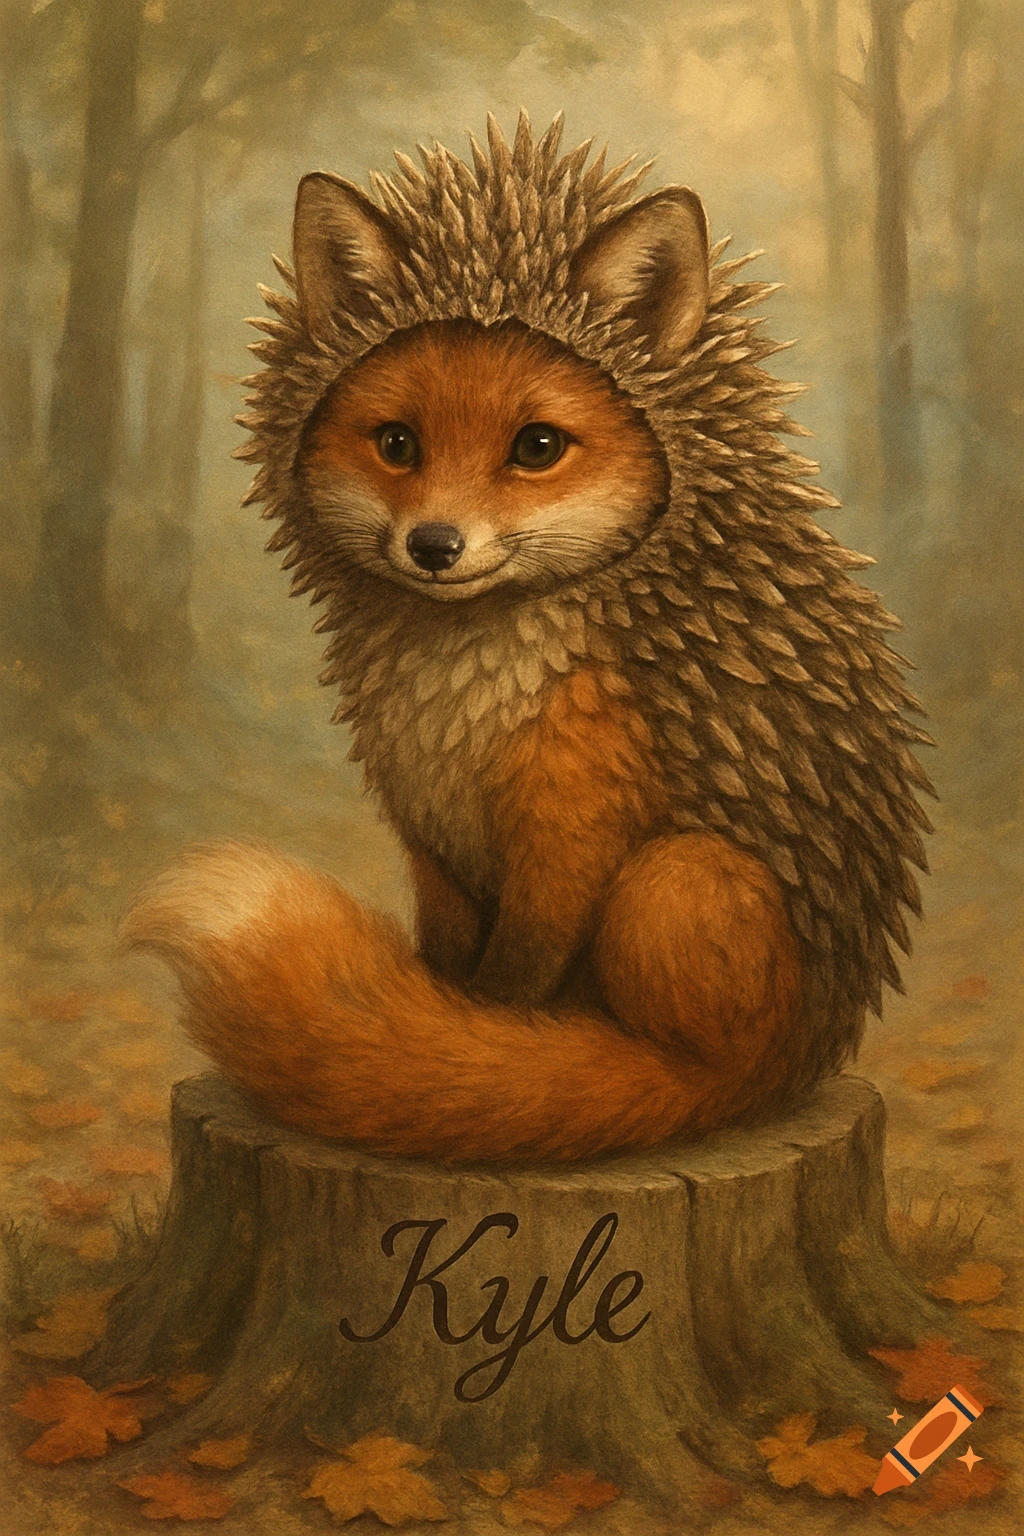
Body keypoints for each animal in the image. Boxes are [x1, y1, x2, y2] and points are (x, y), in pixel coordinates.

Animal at [122, 114, 932, 1162]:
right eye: (396, 444)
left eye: (537, 447)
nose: (433, 546)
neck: (462, 695)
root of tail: (805, 1056)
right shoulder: (427, 829)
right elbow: (444, 972)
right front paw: (436, 1025)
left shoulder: (573, 838)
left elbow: (507, 995)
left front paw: (475, 1054)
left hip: (679, 876)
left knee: (672, 1062)